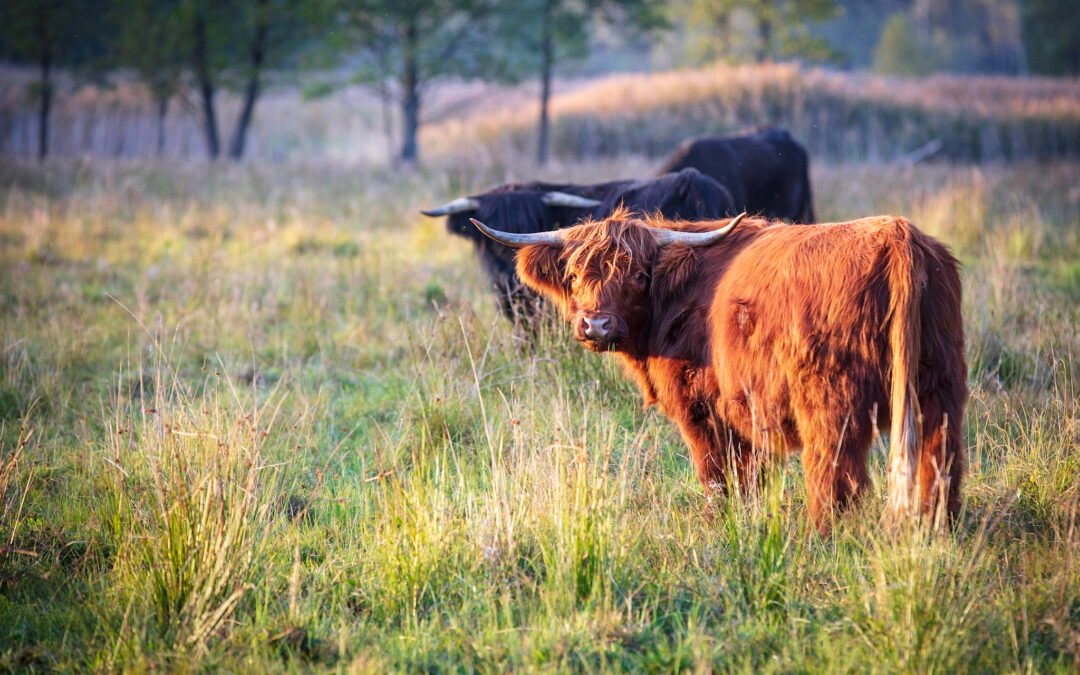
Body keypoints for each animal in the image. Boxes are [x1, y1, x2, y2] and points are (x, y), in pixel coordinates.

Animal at [473, 210, 972, 531]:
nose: (596, 325)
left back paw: (822, 534)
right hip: (941, 385)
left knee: (835, 473)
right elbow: (751, 476)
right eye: (574, 276)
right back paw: (936, 531)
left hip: (831, 399)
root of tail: (898, 235)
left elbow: (718, 474)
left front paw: (720, 522)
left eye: (638, 276)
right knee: (941, 460)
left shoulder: (701, 408)